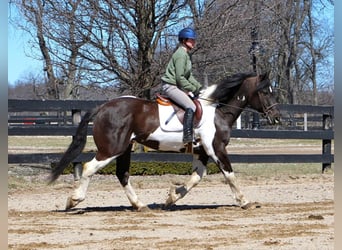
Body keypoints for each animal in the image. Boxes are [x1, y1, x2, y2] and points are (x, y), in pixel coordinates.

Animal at [50, 71, 280, 210]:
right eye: (264, 92)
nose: (276, 117)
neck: (217, 110)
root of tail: (103, 107)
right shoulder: (216, 148)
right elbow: (229, 175)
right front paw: (245, 201)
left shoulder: (201, 151)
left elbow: (197, 177)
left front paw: (171, 198)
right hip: (112, 149)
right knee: (89, 168)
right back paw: (73, 200)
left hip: (124, 149)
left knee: (122, 174)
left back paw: (139, 205)